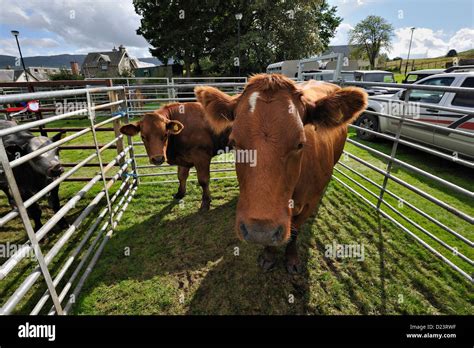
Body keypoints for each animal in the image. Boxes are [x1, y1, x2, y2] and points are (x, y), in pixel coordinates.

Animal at [194, 75, 368, 274]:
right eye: (234, 142)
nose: (260, 231)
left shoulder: (309, 204)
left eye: (300, 143)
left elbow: (294, 232)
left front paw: (292, 258)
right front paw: (269, 255)